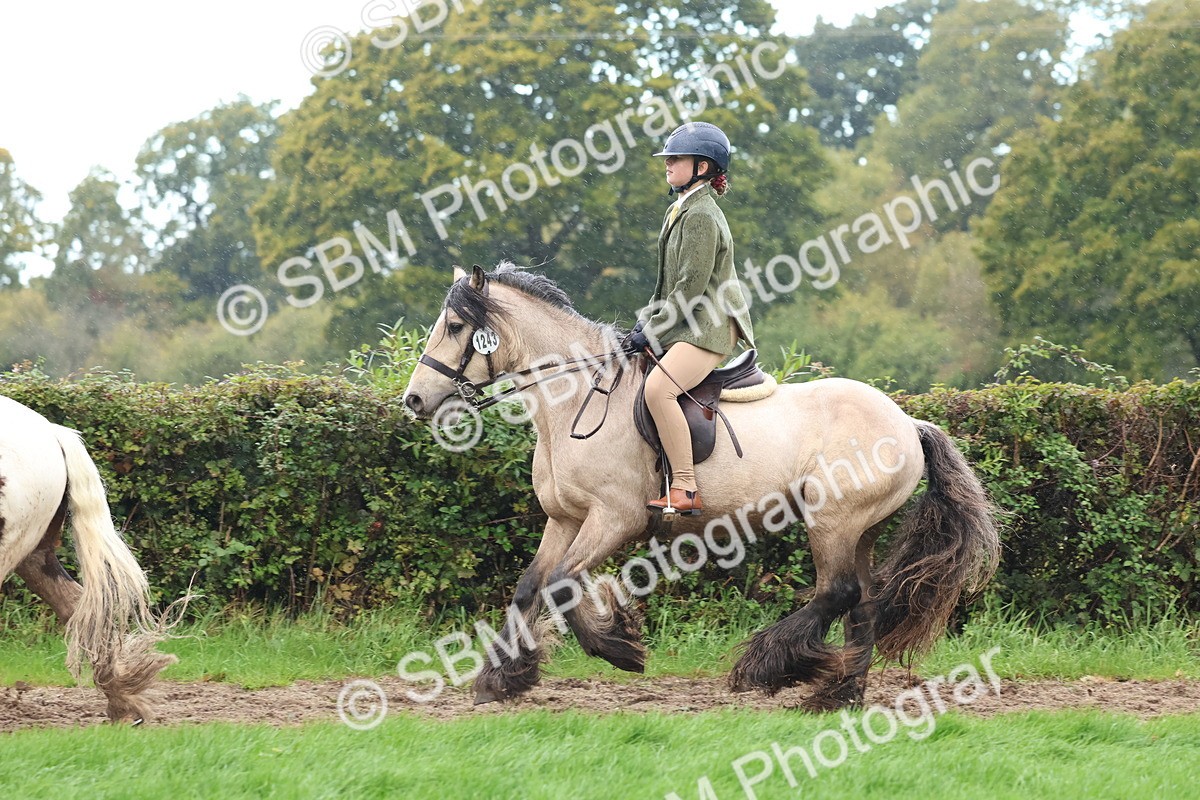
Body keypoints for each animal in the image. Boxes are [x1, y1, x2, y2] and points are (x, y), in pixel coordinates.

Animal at [402, 263, 1000, 710]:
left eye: (454, 326)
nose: (413, 400)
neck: (575, 398)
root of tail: (908, 422)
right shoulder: (565, 518)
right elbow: (531, 586)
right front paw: (501, 680)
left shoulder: (615, 518)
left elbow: (564, 583)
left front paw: (620, 648)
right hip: (861, 529)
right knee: (865, 603)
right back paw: (839, 695)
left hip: (833, 520)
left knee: (838, 593)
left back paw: (766, 668)